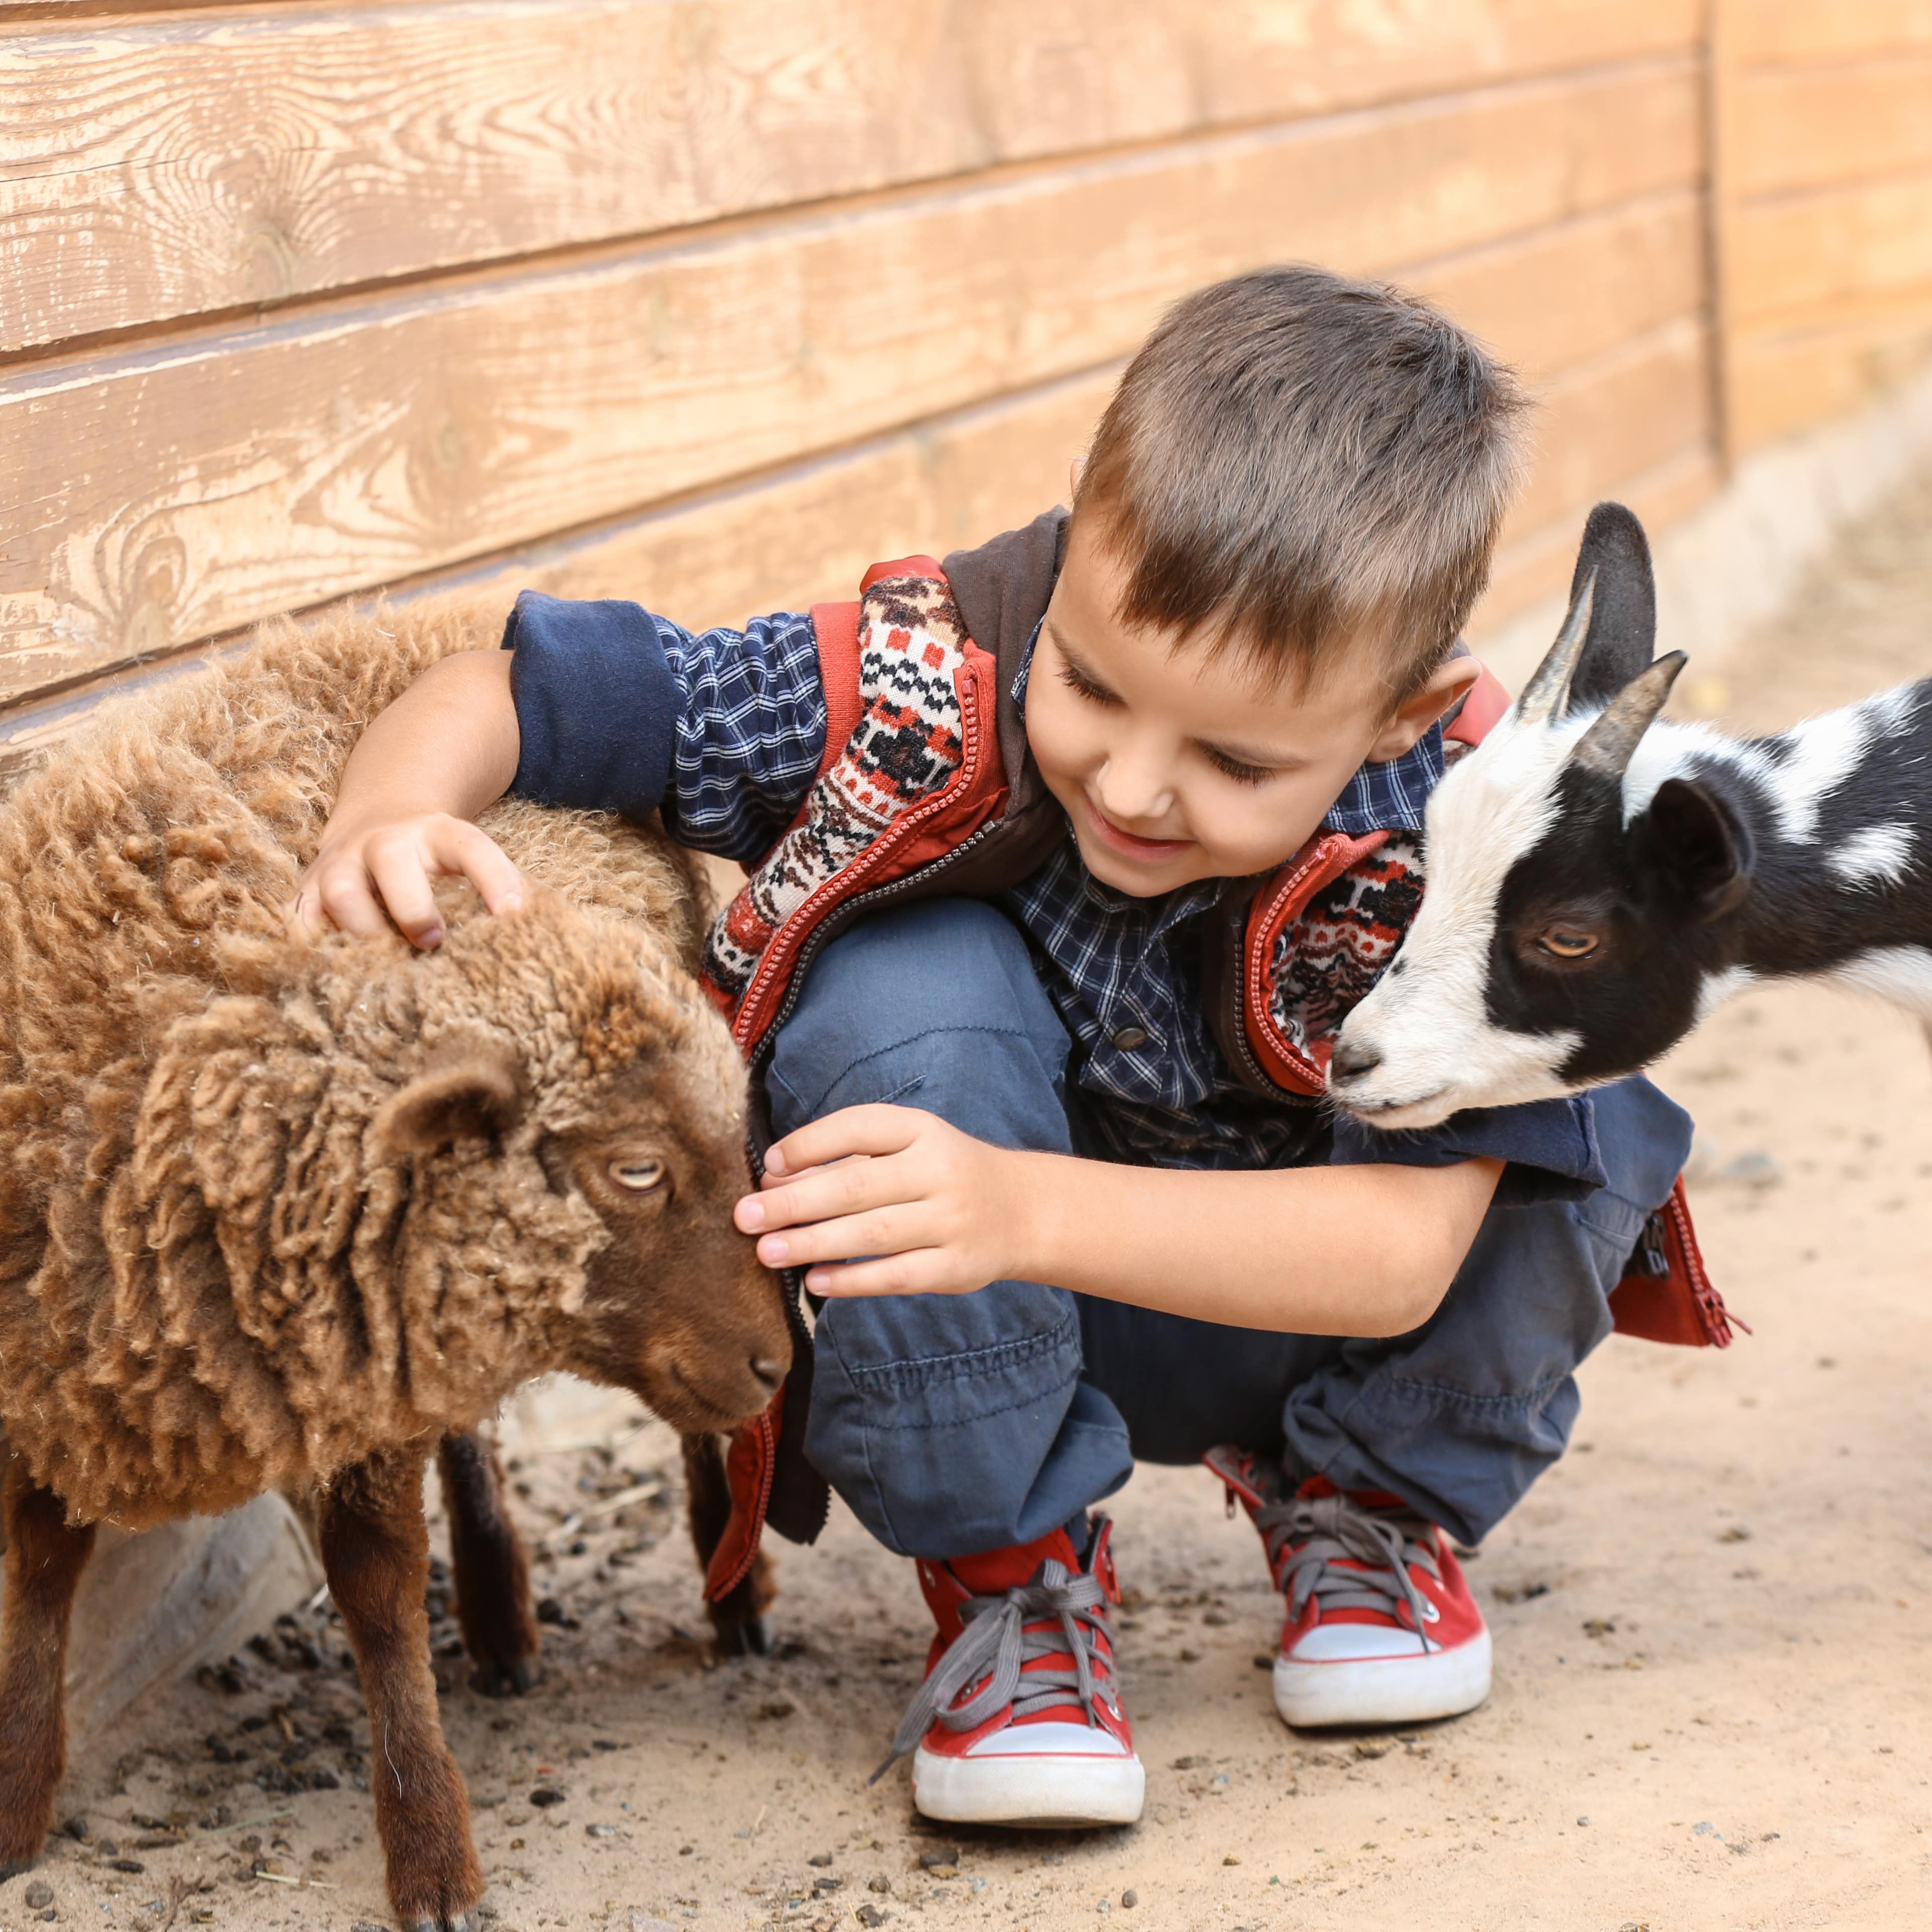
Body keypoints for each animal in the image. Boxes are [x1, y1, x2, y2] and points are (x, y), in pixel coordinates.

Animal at [0, 595, 792, 1924]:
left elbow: (374, 1589)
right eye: (634, 1169)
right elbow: (39, 1568)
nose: (783, 1361)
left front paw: (430, 1854)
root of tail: (433, 612)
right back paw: (501, 1618)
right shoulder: (49, 1359)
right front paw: (15, 1804)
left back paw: (728, 1597)